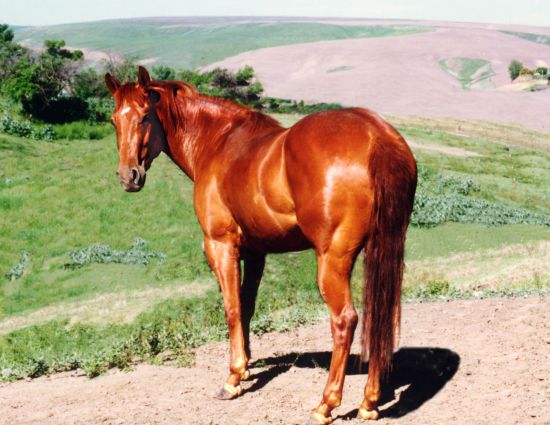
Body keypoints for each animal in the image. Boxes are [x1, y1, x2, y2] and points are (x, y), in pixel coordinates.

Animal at [105, 68, 416, 422]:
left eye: (145, 116)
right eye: (114, 120)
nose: (128, 176)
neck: (217, 143)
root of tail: (376, 136)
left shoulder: (220, 246)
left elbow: (231, 307)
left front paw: (233, 378)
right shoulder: (256, 252)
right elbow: (247, 306)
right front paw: (246, 367)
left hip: (333, 260)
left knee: (345, 321)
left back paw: (326, 404)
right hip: (380, 250)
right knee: (379, 315)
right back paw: (369, 402)